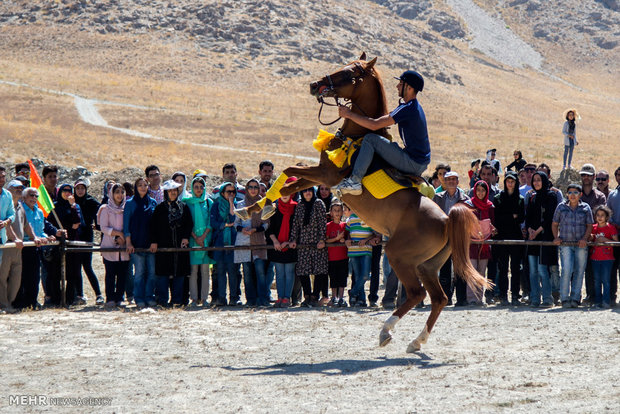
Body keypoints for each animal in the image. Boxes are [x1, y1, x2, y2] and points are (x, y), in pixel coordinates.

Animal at [237, 53, 490, 352]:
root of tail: (446, 219)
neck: (355, 137)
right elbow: (290, 179)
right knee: (438, 298)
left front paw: (262, 206)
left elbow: (289, 172)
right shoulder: (320, 174)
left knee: (416, 294)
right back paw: (416, 341)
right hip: (427, 265)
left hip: (399, 256)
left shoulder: (327, 175)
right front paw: (255, 208)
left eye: (347, 73)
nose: (314, 85)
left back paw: (386, 331)